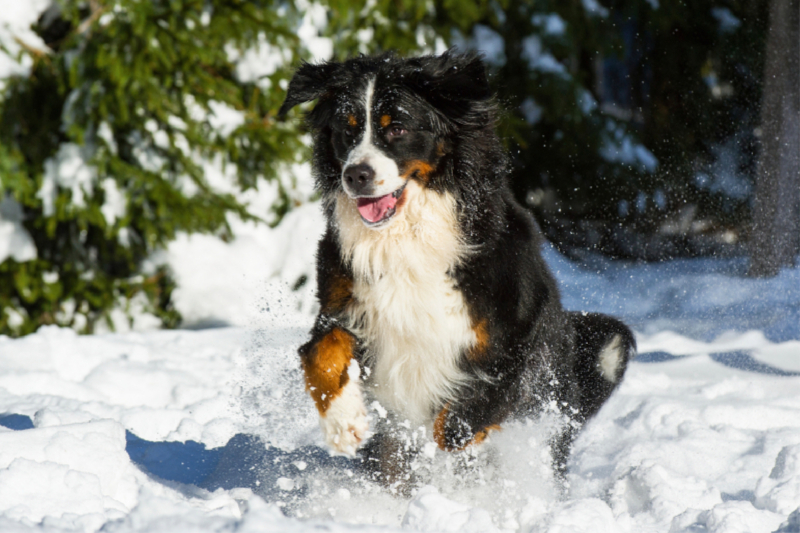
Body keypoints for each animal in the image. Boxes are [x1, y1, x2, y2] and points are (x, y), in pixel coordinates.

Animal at [278, 50, 636, 482]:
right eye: (346, 131)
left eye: (397, 128)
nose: (356, 175)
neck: (408, 236)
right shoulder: (343, 305)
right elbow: (321, 353)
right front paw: (343, 423)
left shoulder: (518, 331)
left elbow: (465, 415)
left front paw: (452, 442)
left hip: (605, 341)